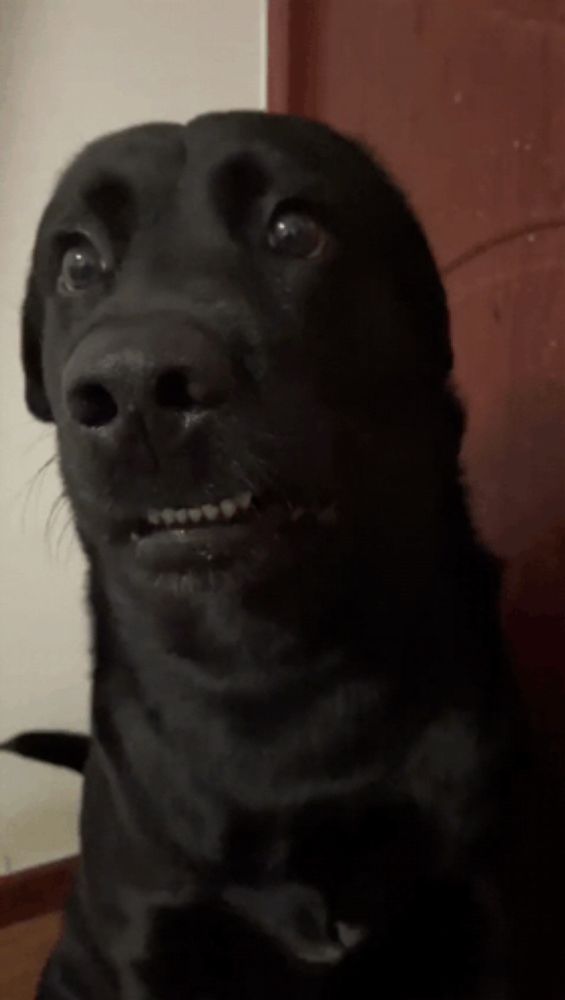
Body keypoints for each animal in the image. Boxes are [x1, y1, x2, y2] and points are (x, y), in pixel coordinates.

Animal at [18, 111, 528, 1000]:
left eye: (294, 231)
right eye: (77, 262)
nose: (137, 387)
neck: (268, 680)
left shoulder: (478, 916)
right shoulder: (150, 938)